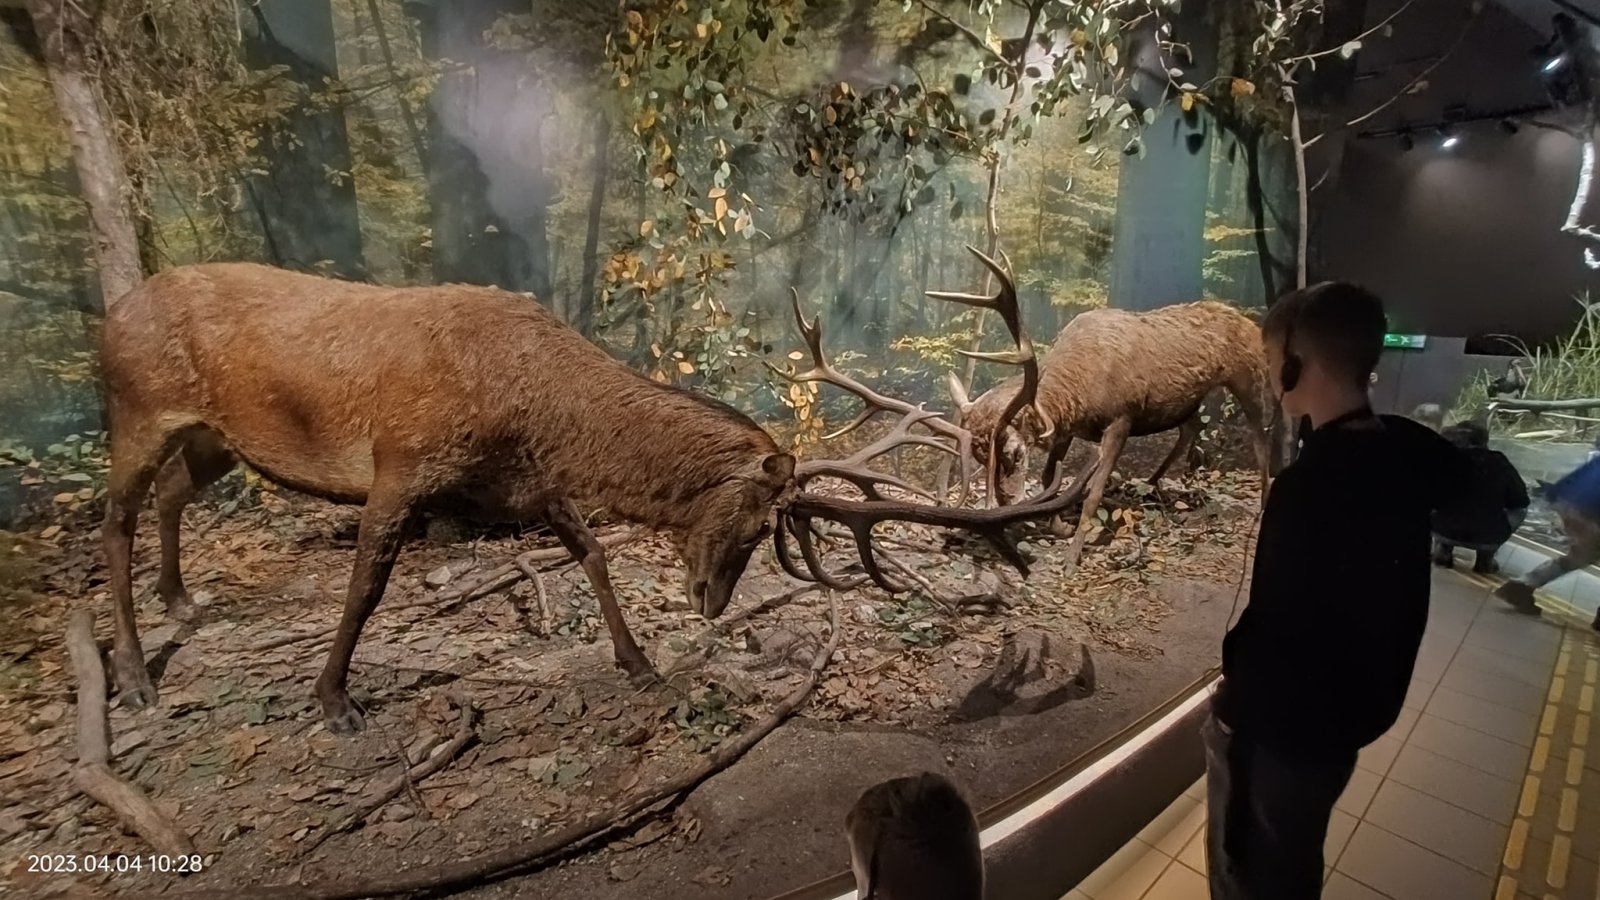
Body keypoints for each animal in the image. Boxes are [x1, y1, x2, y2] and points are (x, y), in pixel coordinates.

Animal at [100, 249, 1094, 735]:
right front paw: (335, 699)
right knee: (116, 519)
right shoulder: (400, 464)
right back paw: (137, 678)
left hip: (216, 441)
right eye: (756, 520)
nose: (712, 600)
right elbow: (367, 586)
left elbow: (591, 553)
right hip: (138, 409)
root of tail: (107, 313)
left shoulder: (528, 484)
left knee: (173, 496)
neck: (531, 412)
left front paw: (639, 661)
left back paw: (182, 603)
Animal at [947, 300, 1275, 572]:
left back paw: (1261, 503)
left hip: (1250, 376)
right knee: (1192, 427)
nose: (1007, 501)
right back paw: (1150, 484)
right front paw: (1060, 528)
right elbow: (1049, 476)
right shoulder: (1068, 429)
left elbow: (1093, 492)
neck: (1079, 392)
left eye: (1016, 452)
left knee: (1261, 436)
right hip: (1185, 402)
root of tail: (1251, 323)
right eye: (979, 457)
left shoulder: (1121, 418)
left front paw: (1072, 558)